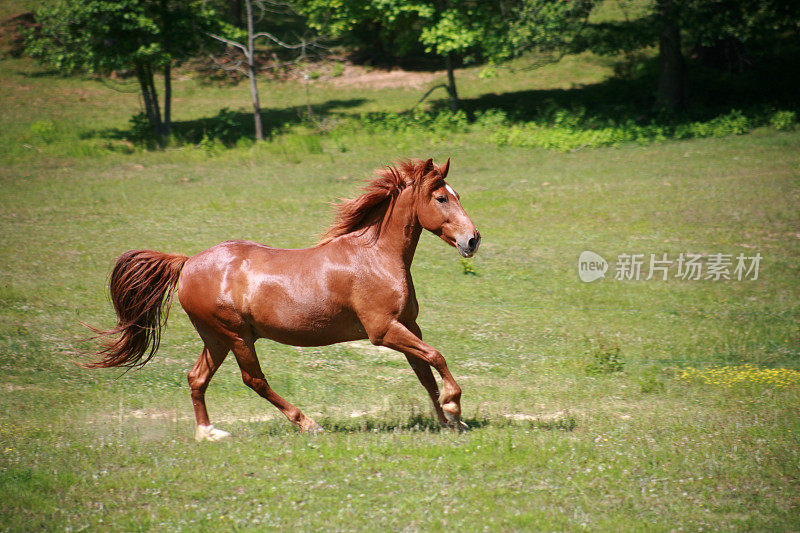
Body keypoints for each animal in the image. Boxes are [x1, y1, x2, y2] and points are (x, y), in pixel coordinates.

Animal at [91, 156, 484, 438]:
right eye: (441, 197)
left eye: (459, 195)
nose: (473, 239)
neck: (375, 256)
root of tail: (187, 263)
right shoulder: (383, 330)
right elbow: (436, 357)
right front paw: (454, 407)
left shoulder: (408, 326)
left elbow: (425, 372)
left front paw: (449, 420)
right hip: (237, 336)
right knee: (254, 381)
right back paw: (307, 423)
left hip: (215, 338)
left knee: (196, 378)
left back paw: (208, 433)